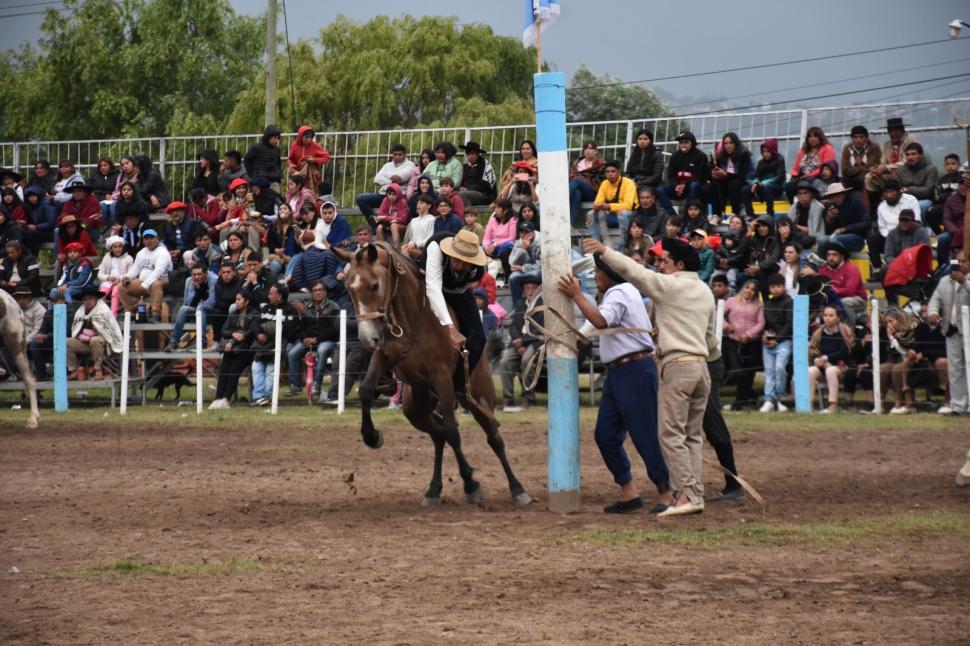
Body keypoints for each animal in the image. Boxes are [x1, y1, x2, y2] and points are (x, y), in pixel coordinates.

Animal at [330, 246, 528, 508]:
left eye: (374, 285)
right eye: (349, 288)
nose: (367, 338)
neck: (413, 317)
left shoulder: (442, 378)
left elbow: (454, 432)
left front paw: (471, 484)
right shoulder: (384, 355)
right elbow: (365, 390)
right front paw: (371, 436)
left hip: (478, 399)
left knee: (492, 438)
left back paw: (517, 489)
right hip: (416, 407)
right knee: (438, 436)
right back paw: (433, 489)